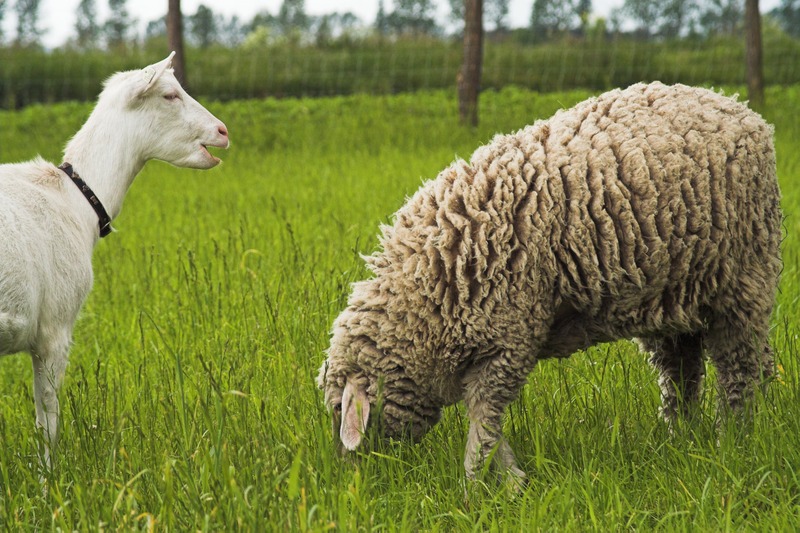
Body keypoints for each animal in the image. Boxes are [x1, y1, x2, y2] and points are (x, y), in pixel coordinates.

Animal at [0, 52, 229, 470]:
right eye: (170, 95)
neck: (75, 199)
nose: (222, 131)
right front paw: (49, 480)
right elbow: (47, 419)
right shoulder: (55, 328)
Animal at [317, 82, 781, 486]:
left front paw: (480, 482)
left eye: (342, 409)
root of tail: (740, 108)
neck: (429, 291)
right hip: (673, 297)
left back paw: (734, 439)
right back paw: (681, 437)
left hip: (745, 281)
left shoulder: (508, 337)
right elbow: (485, 418)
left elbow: (483, 416)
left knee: (741, 370)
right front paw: (507, 478)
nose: (354, 476)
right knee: (681, 371)